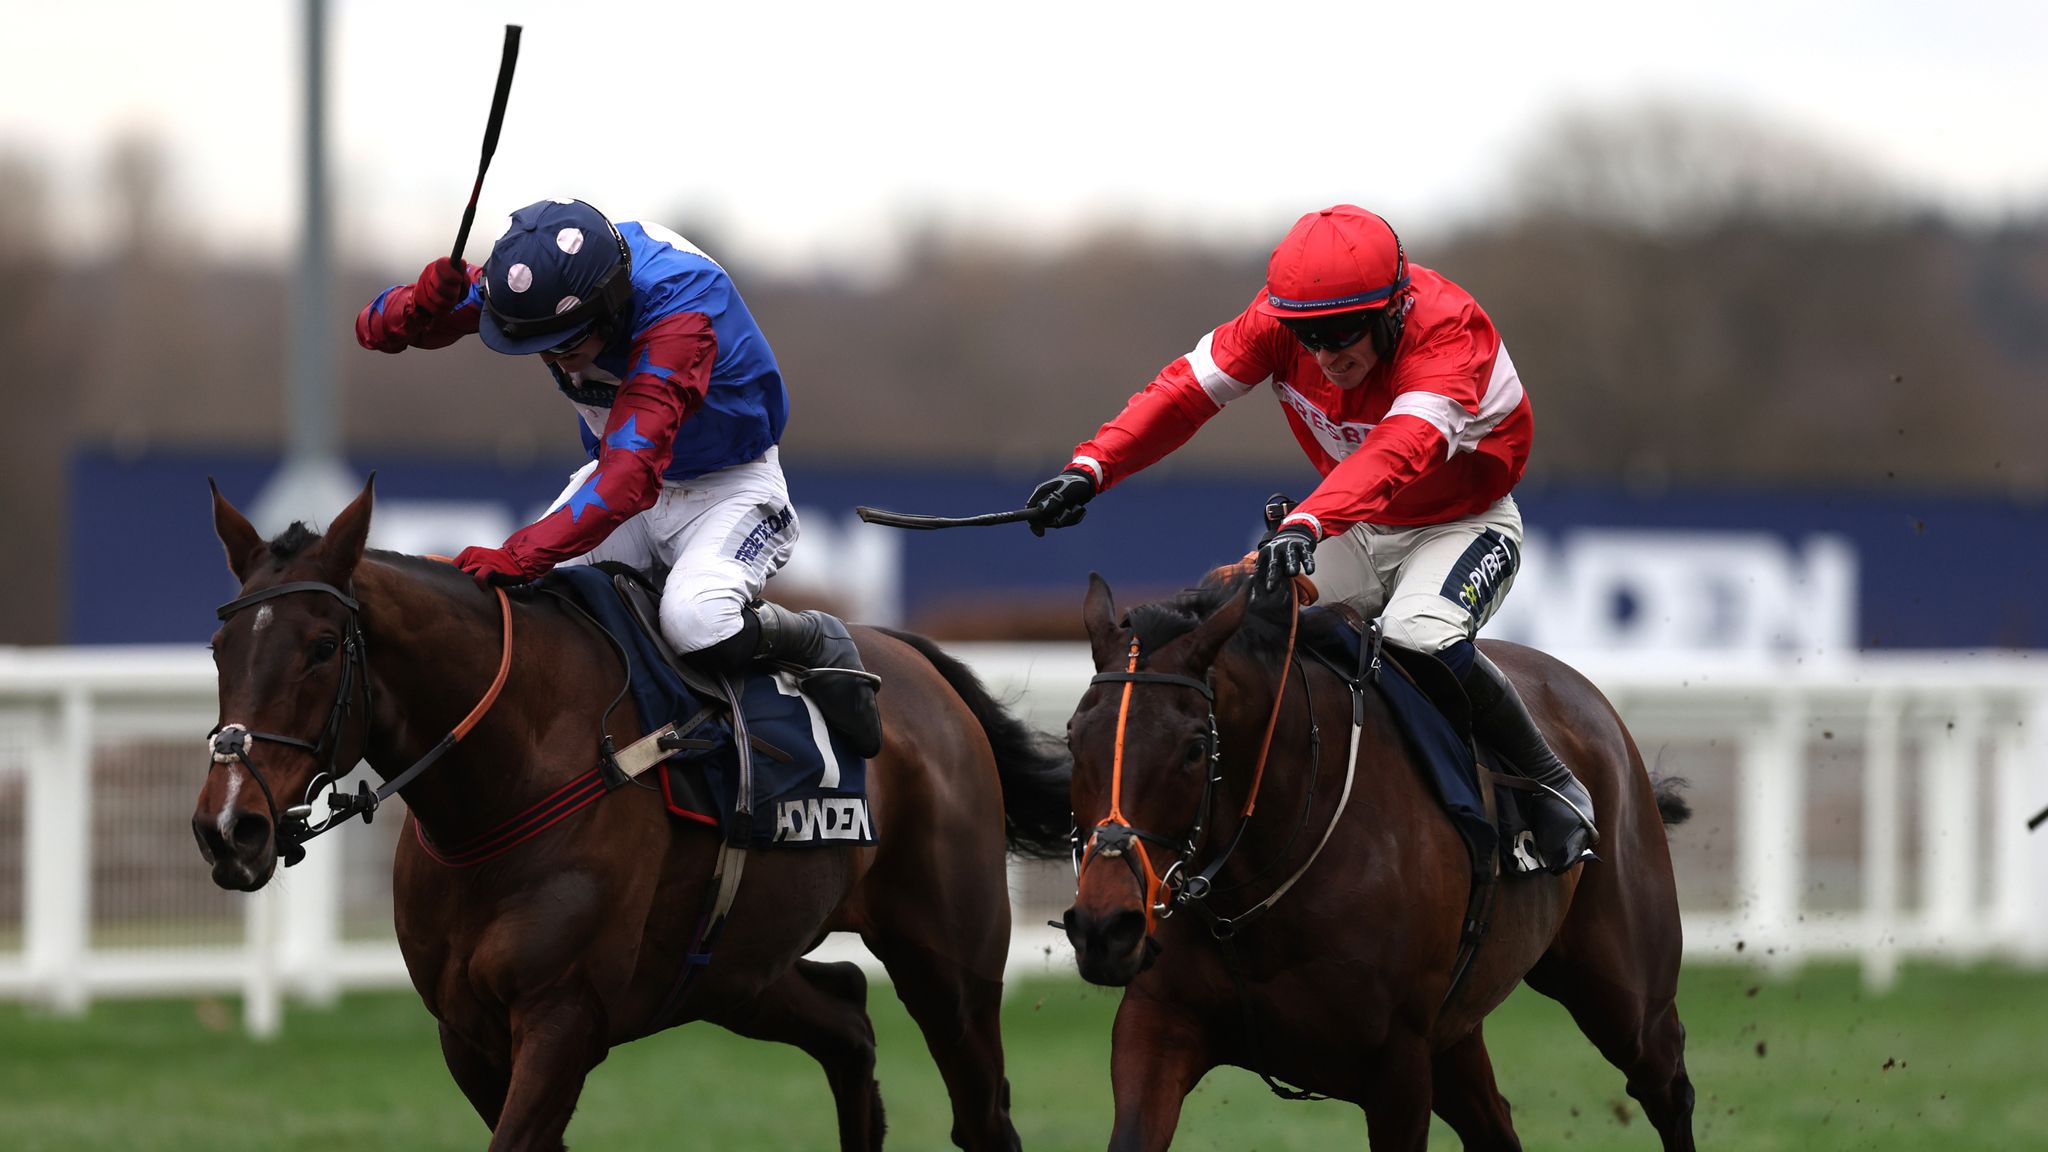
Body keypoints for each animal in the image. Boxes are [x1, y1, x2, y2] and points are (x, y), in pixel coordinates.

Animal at [195, 477, 1073, 1147]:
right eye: (219, 649)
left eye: (320, 648)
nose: (228, 827)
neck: (512, 777)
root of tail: (917, 664)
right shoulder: (466, 1032)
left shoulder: (562, 1018)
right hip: (734, 972)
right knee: (850, 1019)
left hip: (948, 962)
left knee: (981, 1114)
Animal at [1064, 573, 1687, 1147]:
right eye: (1073, 737)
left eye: (1195, 748)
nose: (1105, 927)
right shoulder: (1157, 1024)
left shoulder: (1398, 1065)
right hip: (1456, 1036)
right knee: (1496, 1125)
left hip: (1623, 994)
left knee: (1666, 1082)